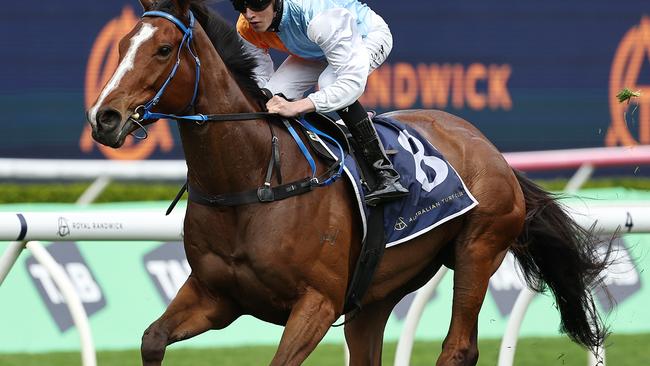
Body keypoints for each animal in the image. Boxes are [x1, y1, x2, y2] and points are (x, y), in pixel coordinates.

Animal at [86, 1, 608, 364]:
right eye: (120, 46)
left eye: (163, 50)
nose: (104, 118)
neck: (253, 181)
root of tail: (489, 148)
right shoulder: (216, 297)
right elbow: (152, 339)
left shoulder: (316, 303)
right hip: (376, 292)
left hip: (478, 248)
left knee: (458, 346)